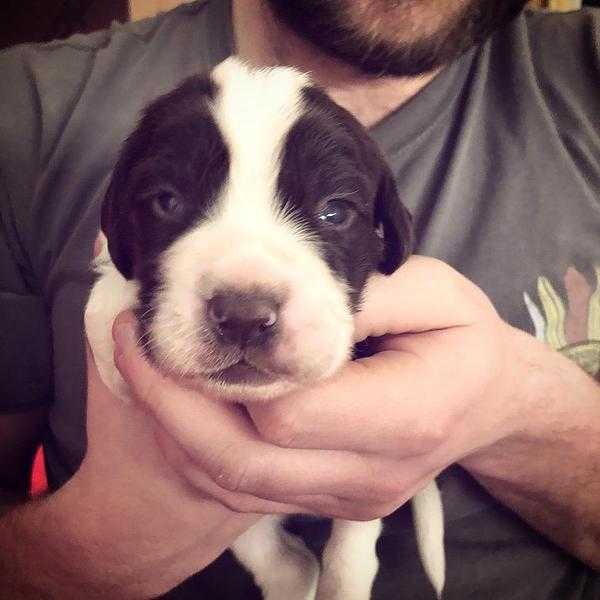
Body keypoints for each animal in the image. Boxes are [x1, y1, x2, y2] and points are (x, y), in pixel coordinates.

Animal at [85, 57, 446, 600]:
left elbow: (355, 530)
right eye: (166, 202)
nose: (243, 317)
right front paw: (112, 346)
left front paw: (342, 580)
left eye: (335, 211)